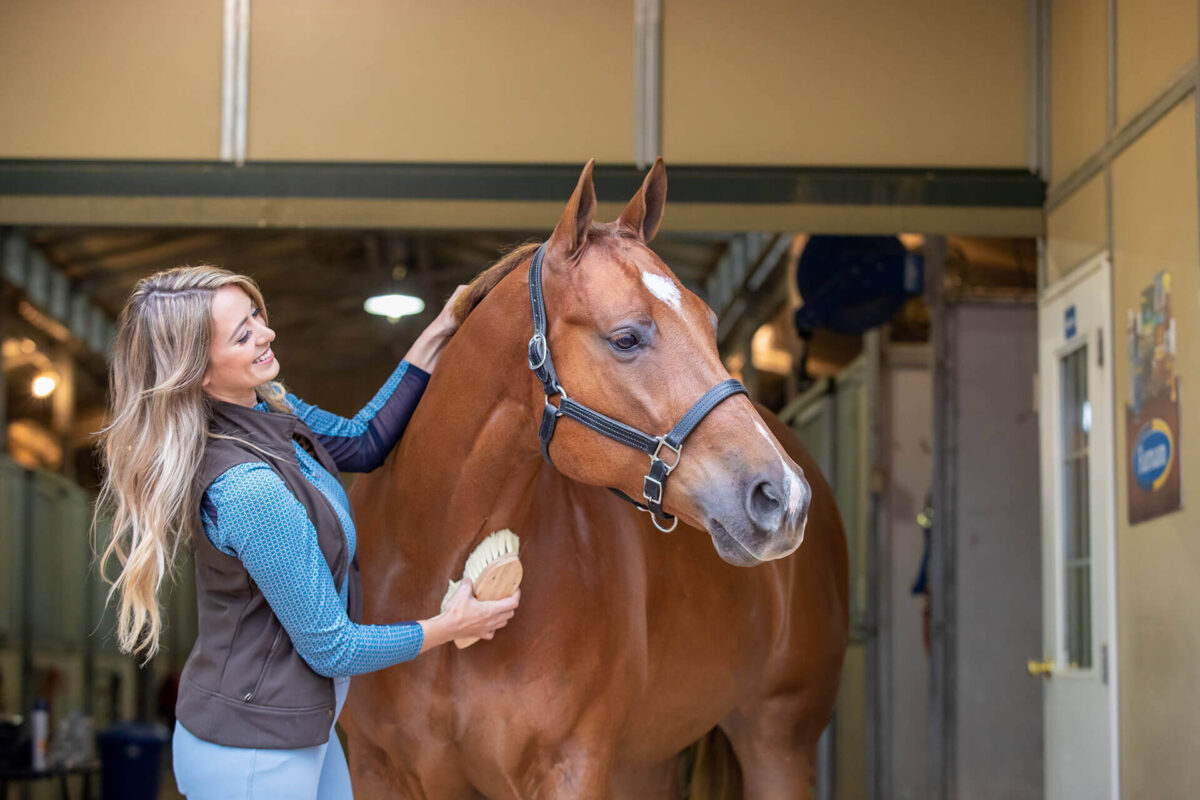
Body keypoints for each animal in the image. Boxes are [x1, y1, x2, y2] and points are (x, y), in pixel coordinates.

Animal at [341, 158, 848, 799]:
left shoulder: (571, 768)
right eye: (626, 337)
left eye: (710, 325)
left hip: (777, 743)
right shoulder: (376, 770)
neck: (434, 565)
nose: (783, 497)